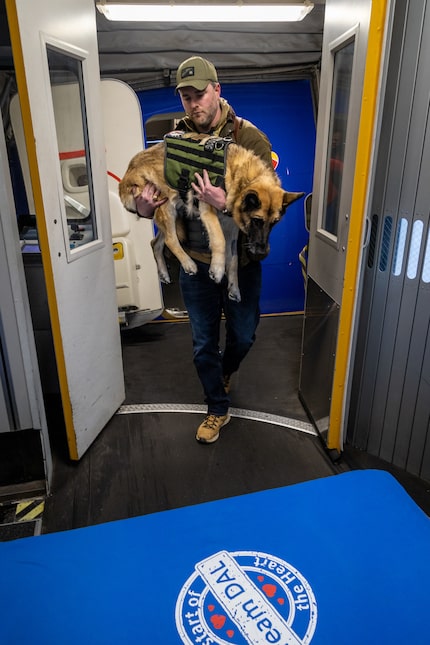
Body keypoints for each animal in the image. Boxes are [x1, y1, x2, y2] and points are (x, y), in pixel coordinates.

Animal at [119, 134, 304, 304]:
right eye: (257, 220)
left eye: (274, 223)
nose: (262, 252)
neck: (238, 176)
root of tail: (127, 173)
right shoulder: (207, 210)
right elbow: (219, 240)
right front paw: (217, 269)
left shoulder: (232, 228)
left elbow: (234, 259)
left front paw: (234, 287)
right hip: (167, 206)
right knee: (171, 240)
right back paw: (188, 264)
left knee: (155, 243)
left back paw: (163, 272)